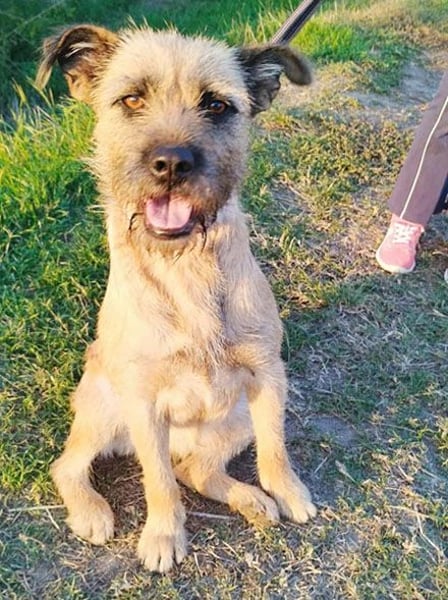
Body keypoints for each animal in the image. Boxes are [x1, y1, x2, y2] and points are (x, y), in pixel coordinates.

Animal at [37, 23, 316, 573]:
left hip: (235, 419)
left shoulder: (268, 376)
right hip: (106, 409)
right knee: (72, 464)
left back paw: (251, 499)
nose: (171, 163)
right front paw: (164, 536)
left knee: (195, 470)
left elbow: (275, 450)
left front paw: (288, 490)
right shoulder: (143, 404)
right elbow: (158, 482)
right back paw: (92, 511)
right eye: (131, 99)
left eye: (217, 105)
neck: (185, 267)